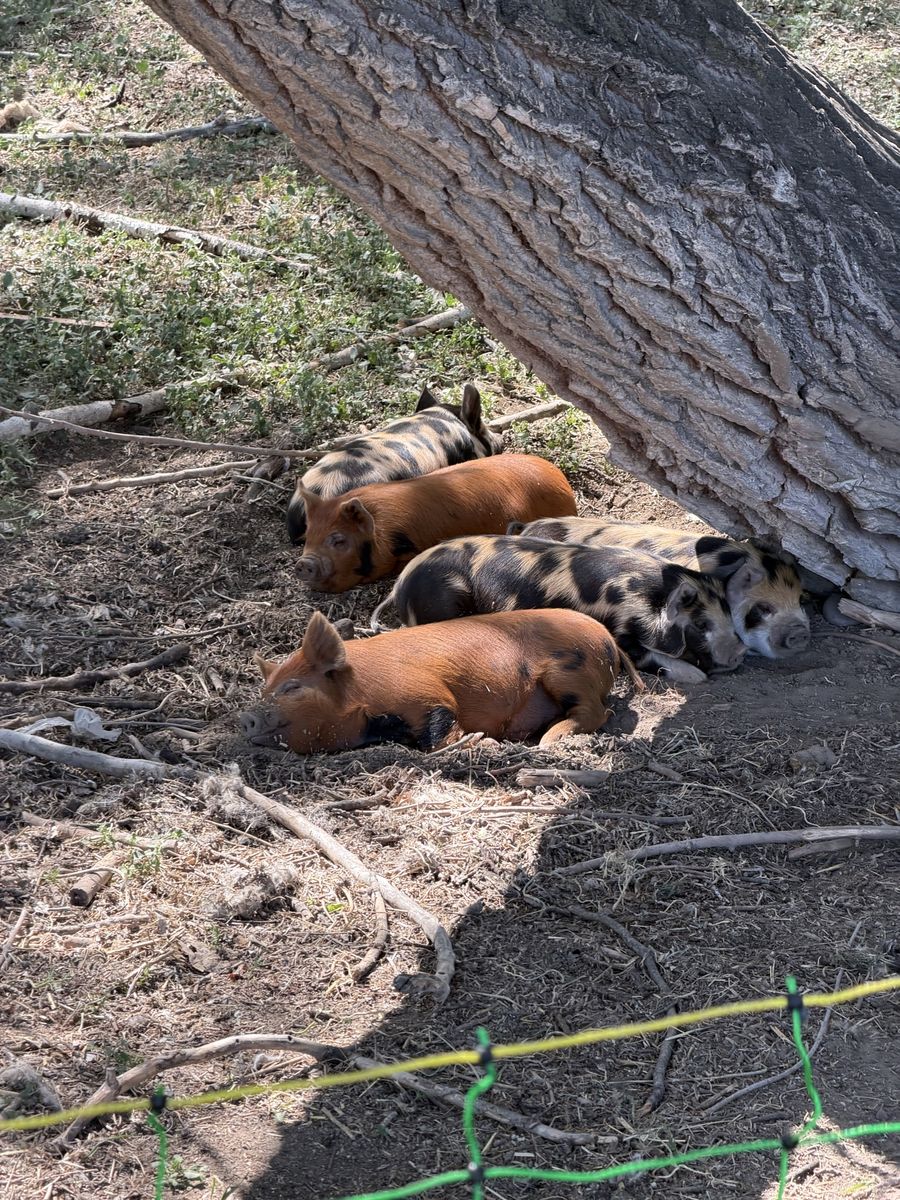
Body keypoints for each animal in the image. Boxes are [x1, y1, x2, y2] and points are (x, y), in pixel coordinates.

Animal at [240, 608, 636, 754]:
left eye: (292, 687)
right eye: (265, 689)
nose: (247, 716)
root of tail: (607, 638)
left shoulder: (426, 695)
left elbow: (441, 729)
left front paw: (482, 743)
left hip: (571, 671)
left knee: (597, 713)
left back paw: (547, 740)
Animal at [372, 535, 747, 682]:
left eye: (729, 615)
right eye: (700, 624)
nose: (739, 655)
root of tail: (399, 586)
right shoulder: (618, 627)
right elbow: (648, 653)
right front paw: (698, 675)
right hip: (446, 599)